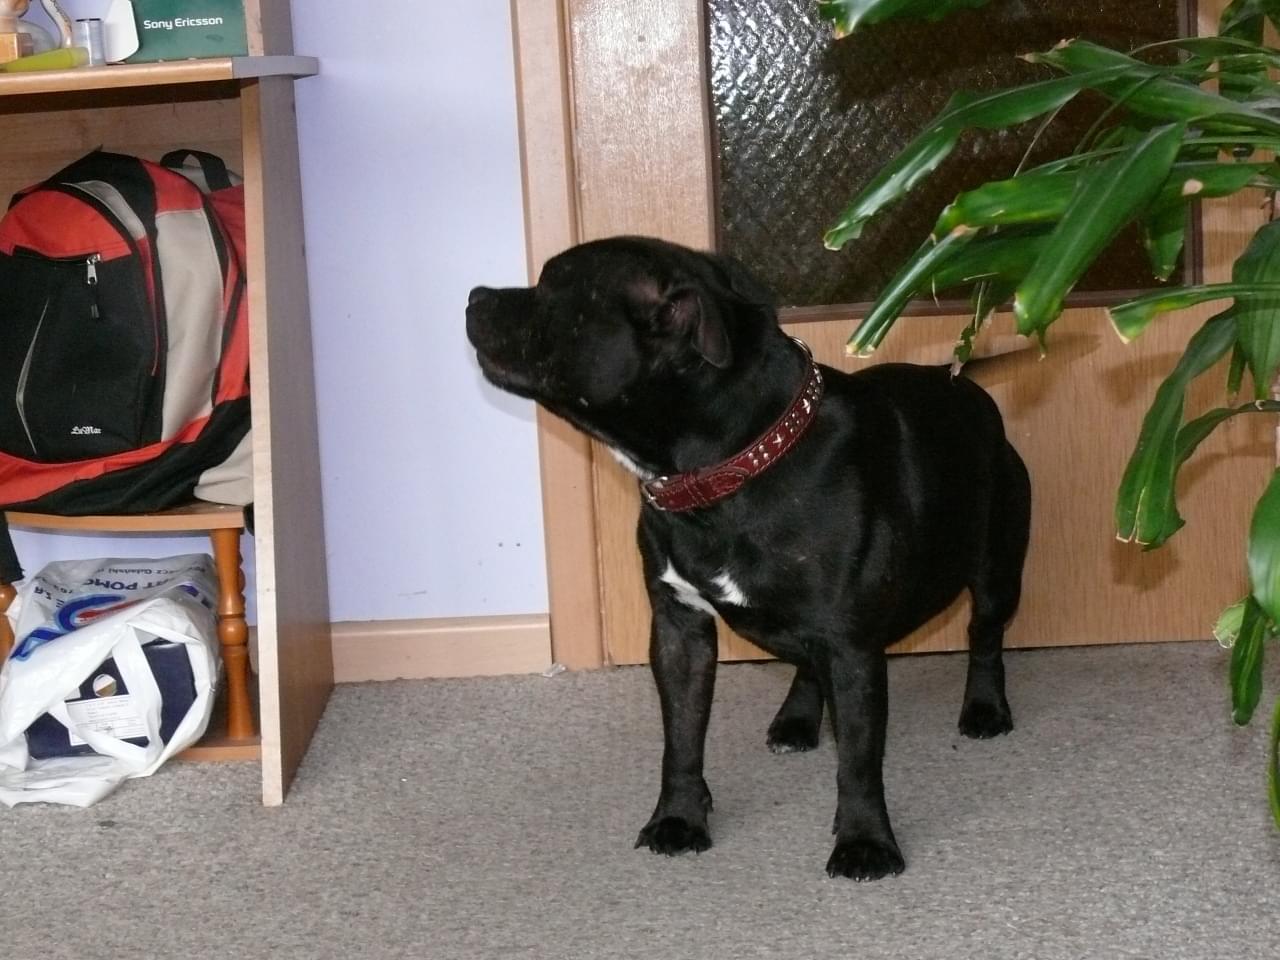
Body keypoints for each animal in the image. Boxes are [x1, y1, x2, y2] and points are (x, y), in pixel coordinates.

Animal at [466, 236, 1030, 880]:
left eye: (555, 287)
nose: (474, 295)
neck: (732, 467)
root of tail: (958, 381)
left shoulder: (852, 646)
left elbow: (859, 759)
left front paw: (865, 842)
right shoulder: (679, 629)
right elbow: (682, 738)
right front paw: (679, 818)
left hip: (996, 569)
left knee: (984, 634)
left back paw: (984, 708)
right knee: (807, 662)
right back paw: (797, 719)